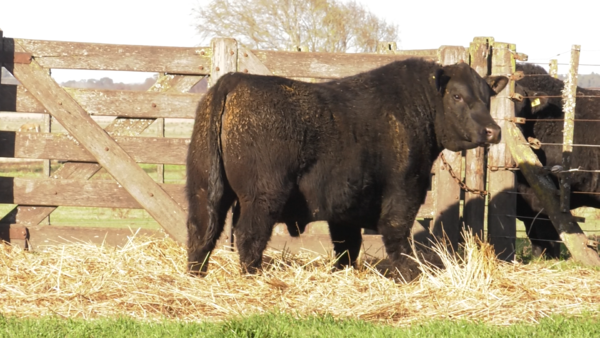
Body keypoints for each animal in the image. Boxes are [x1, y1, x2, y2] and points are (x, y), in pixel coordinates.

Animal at [188, 59, 506, 282]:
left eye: (486, 97)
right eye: (457, 96)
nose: (493, 131)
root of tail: (234, 79)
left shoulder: (345, 203)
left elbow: (347, 244)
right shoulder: (405, 187)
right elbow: (395, 230)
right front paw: (409, 274)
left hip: (206, 187)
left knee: (202, 229)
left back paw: (196, 274)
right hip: (262, 196)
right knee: (248, 234)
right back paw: (253, 276)